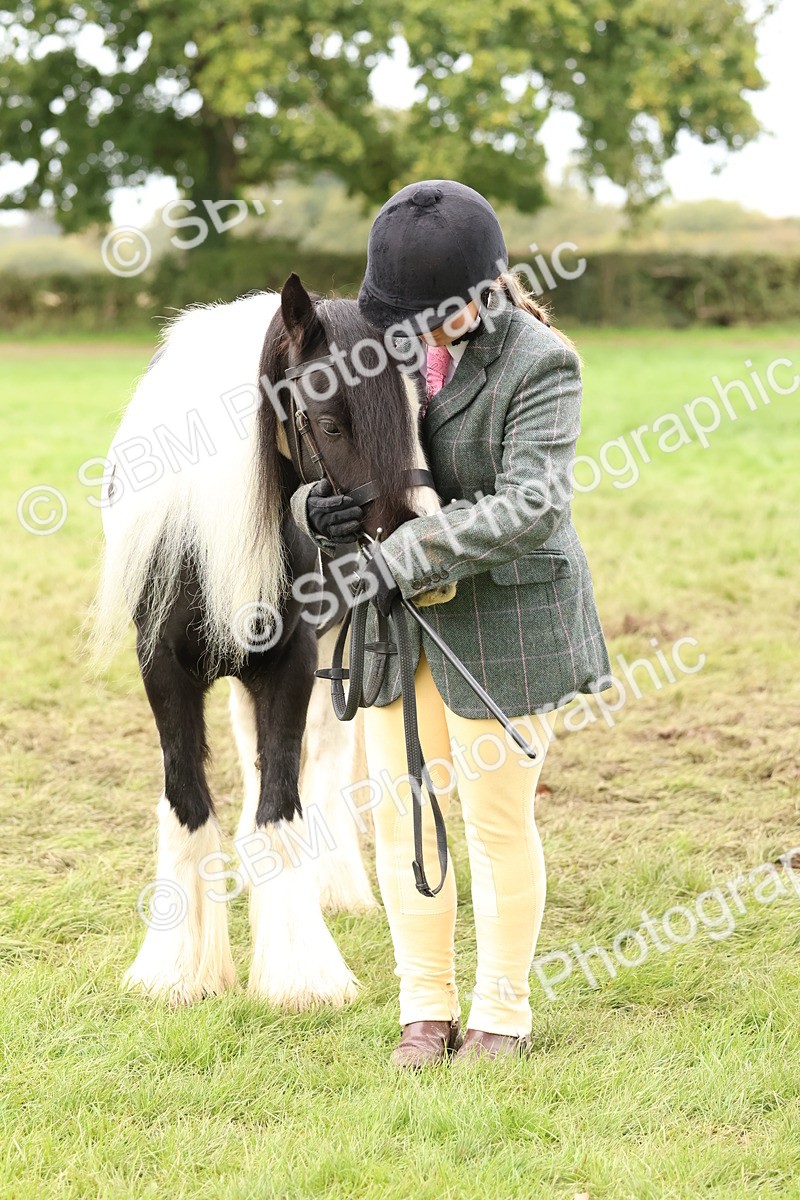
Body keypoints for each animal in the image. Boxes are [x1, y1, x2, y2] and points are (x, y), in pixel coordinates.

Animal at [91, 273, 446, 1008]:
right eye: (331, 423)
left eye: (417, 409)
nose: (418, 540)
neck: (199, 526)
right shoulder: (162, 670)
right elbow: (189, 800)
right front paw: (176, 969)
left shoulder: (293, 664)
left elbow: (282, 803)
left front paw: (300, 975)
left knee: (324, 761)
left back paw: (333, 884)